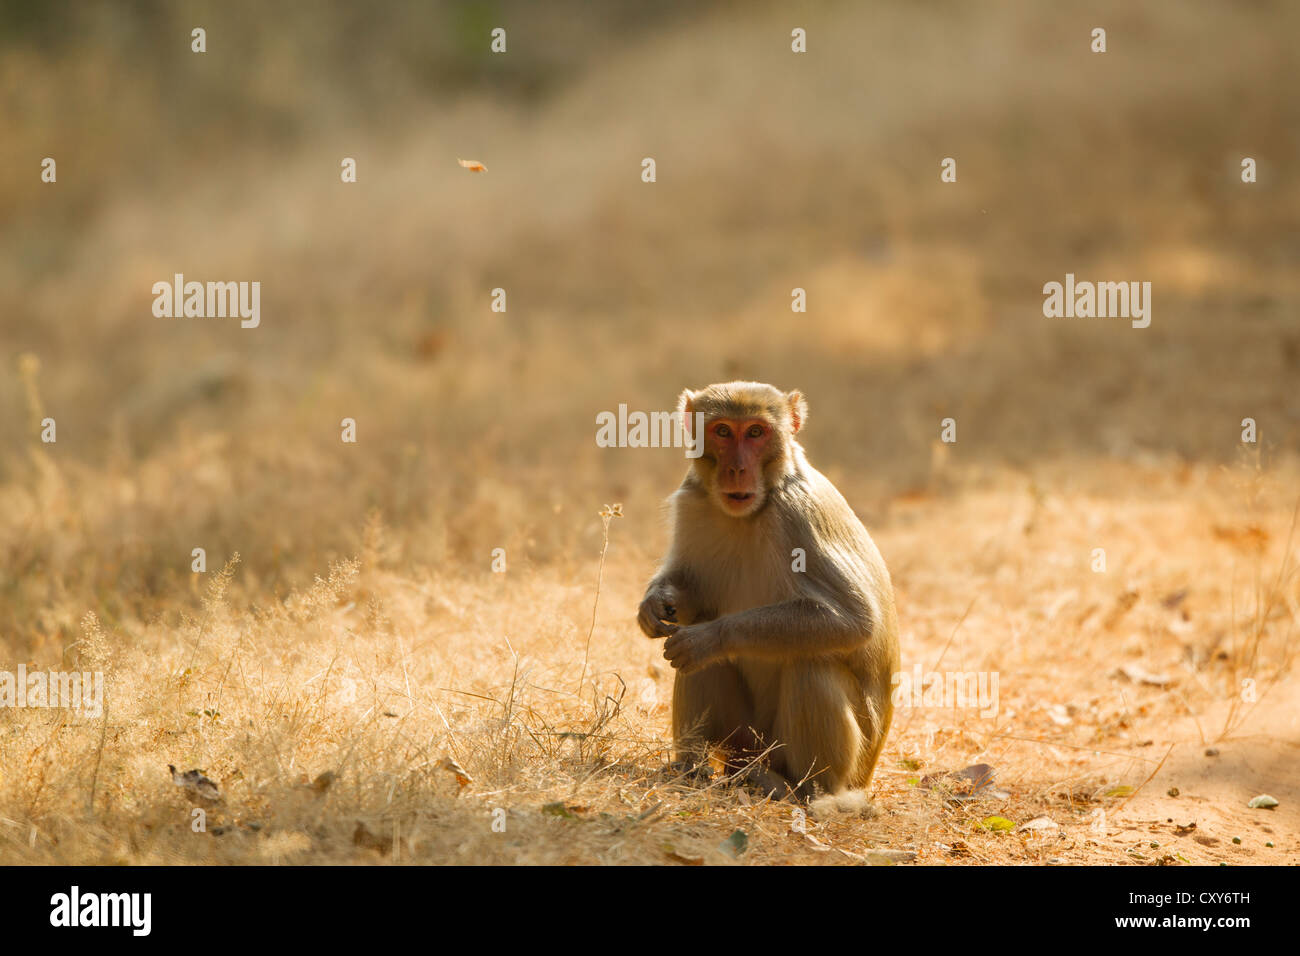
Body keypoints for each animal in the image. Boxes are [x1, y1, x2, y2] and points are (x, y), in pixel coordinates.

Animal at [637, 382, 899, 802]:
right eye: (723, 431)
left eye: (756, 433)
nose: (737, 469)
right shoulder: (691, 499)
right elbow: (691, 595)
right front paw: (657, 603)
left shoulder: (799, 514)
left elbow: (854, 619)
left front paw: (711, 636)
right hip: (744, 740)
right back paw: (691, 770)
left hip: (845, 761)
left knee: (812, 663)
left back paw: (802, 789)